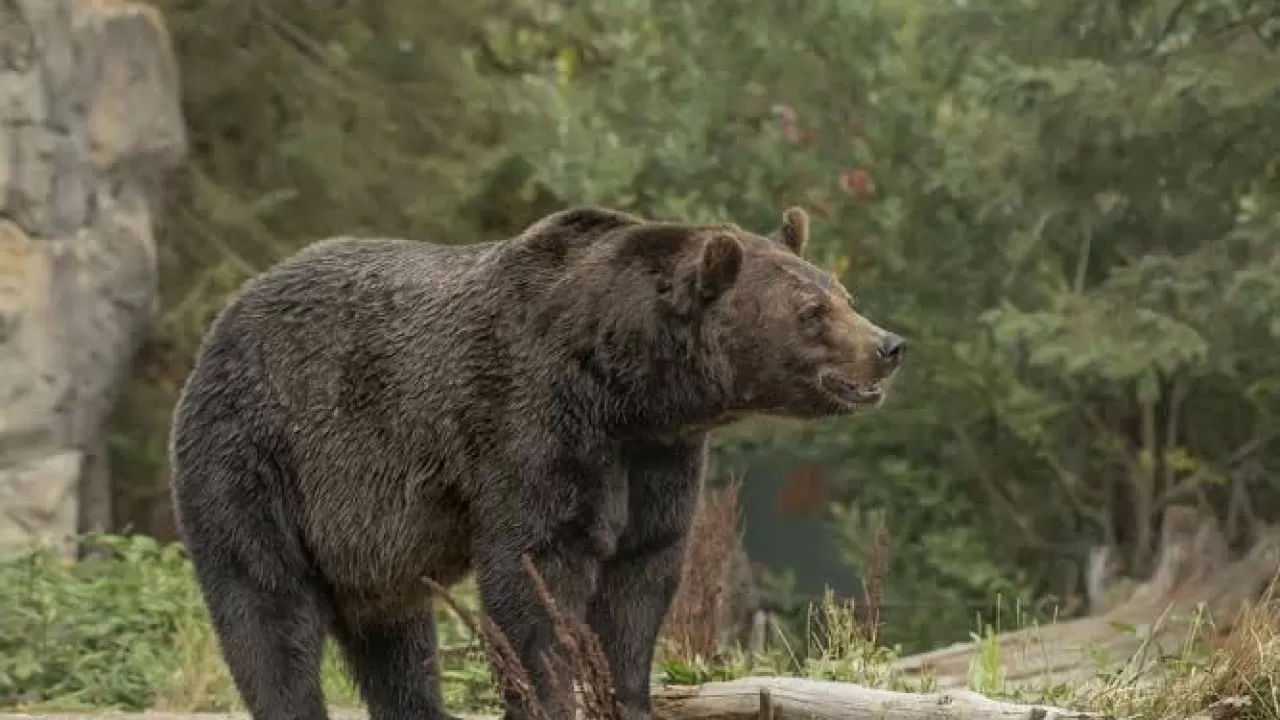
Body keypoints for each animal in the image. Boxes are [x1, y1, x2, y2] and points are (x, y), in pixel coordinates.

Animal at [168, 204, 906, 720]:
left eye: (843, 295)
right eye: (811, 311)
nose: (888, 345)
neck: (627, 385)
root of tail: (221, 323)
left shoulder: (656, 457)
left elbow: (642, 574)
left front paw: (626, 692)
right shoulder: (535, 420)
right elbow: (535, 574)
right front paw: (550, 690)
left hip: (367, 544)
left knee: (396, 638)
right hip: (259, 457)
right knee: (266, 607)